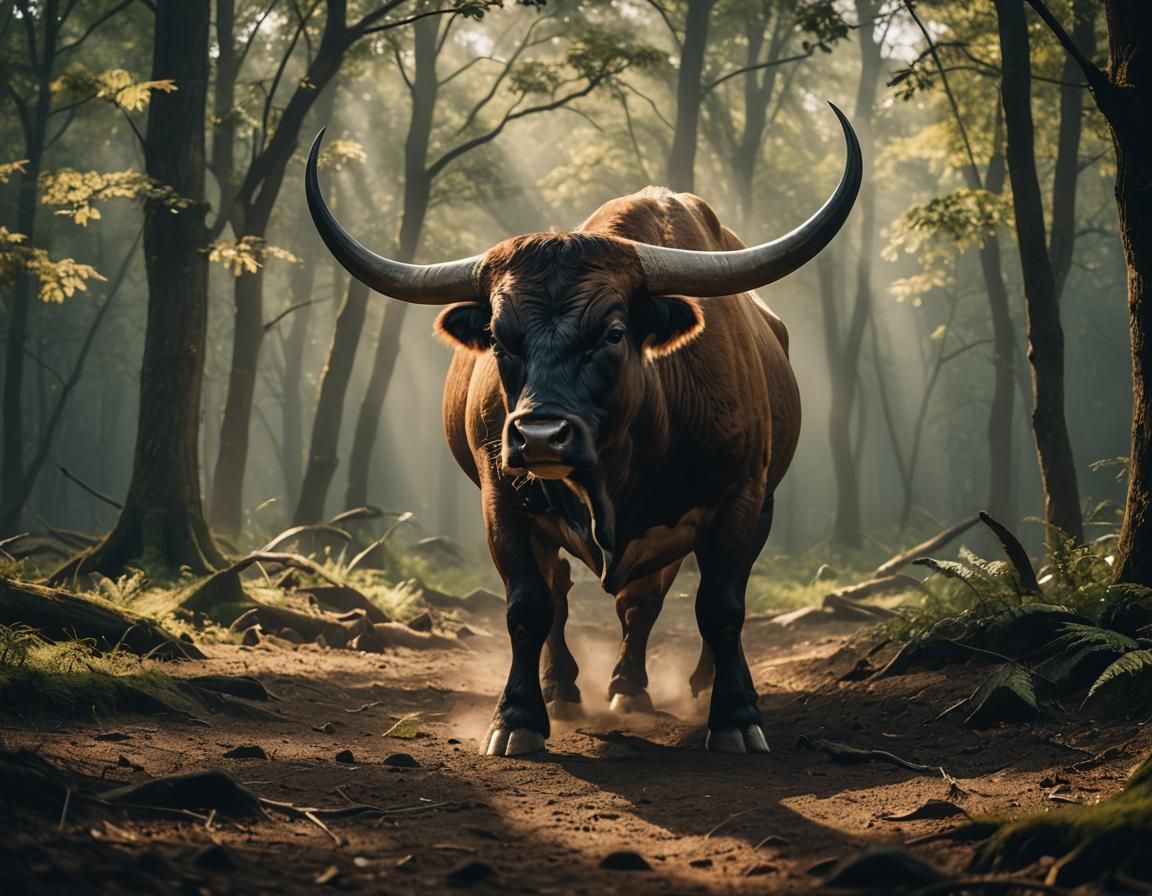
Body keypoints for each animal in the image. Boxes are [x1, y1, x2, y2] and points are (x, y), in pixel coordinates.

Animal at [305, 103, 861, 757]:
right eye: (498, 337)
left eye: (614, 332)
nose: (541, 436)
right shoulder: (502, 500)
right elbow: (529, 606)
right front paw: (517, 717)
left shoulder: (740, 496)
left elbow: (720, 606)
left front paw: (734, 714)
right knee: (571, 595)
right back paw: (569, 687)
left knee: (650, 603)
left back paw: (665, 685)